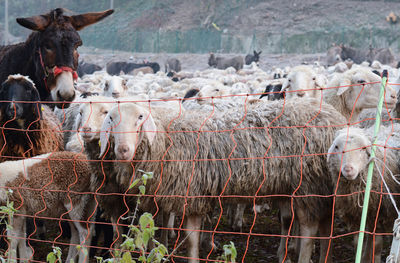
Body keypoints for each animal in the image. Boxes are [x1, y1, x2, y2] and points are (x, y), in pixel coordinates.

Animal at [94, 99, 346, 263]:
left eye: (140, 117)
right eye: (111, 118)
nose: (123, 150)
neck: (166, 138)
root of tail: (335, 117)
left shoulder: (193, 194)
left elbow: (191, 239)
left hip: (309, 185)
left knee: (309, 228)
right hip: (319, 188)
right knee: (325, 226)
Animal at [326, 127, 400, 262]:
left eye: (363, 148)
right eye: (337, 147)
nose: (348, 169)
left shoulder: (380, 213)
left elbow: (376, 245)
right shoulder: (356, 215)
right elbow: (357, 242)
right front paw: (361, 256)